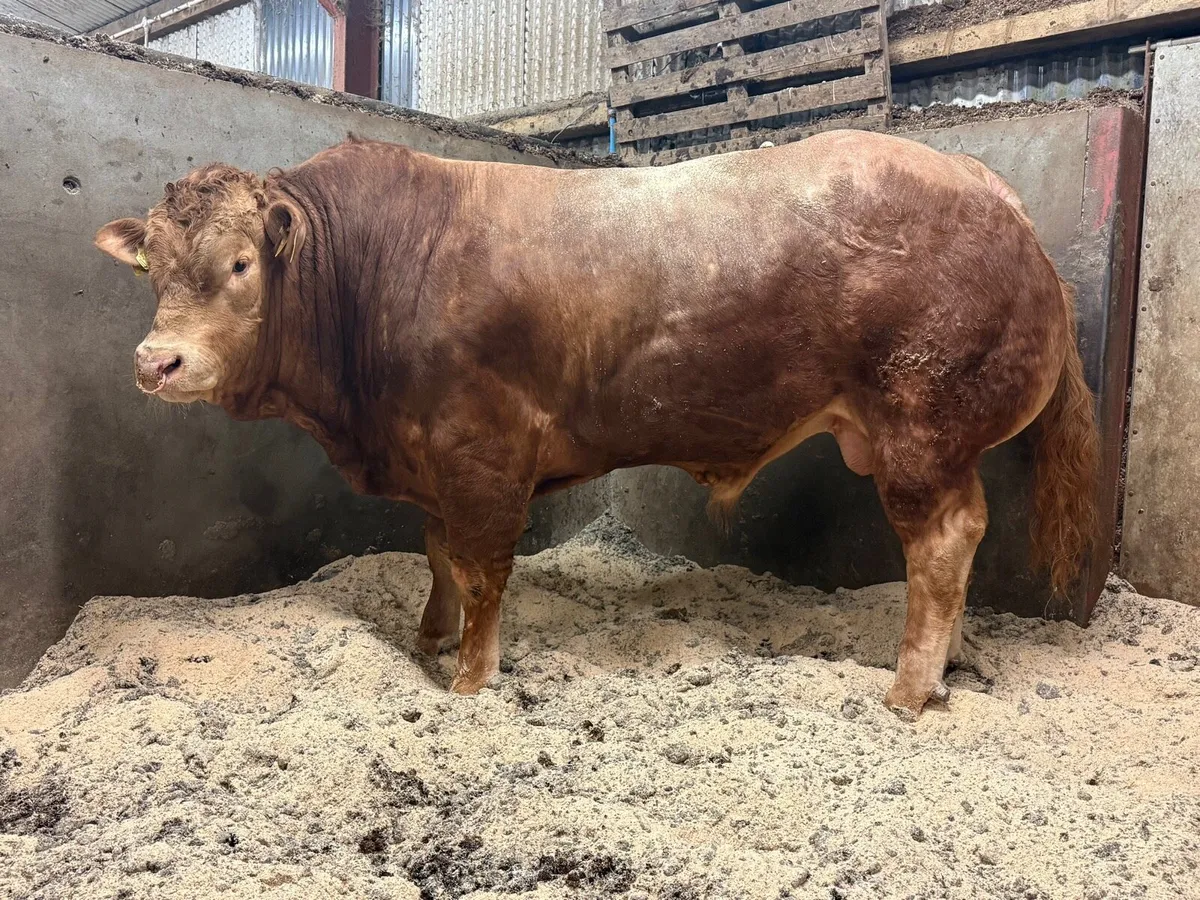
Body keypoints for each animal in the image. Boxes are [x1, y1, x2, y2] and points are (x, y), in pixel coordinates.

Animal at [95, 131, 1099, 718]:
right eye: (153, 269)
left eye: (240, 264)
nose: (154, 362)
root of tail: (984, 182)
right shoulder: (430, 457)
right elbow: (435, 554)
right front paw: (426, 640)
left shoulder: (482, 448)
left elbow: (481, 568)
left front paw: (469, 679)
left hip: (920, 431)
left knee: (943, 544)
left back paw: (907, 688)